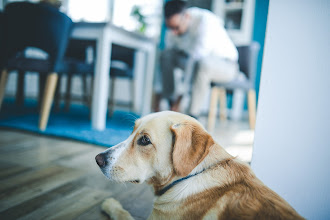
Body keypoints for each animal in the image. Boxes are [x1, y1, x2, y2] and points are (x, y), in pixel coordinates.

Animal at [94, 111, 302, 220]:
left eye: (144, 140)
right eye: (132, 131)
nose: (98, 159)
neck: (191, 175)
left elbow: (123, 214)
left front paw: (111, 204)